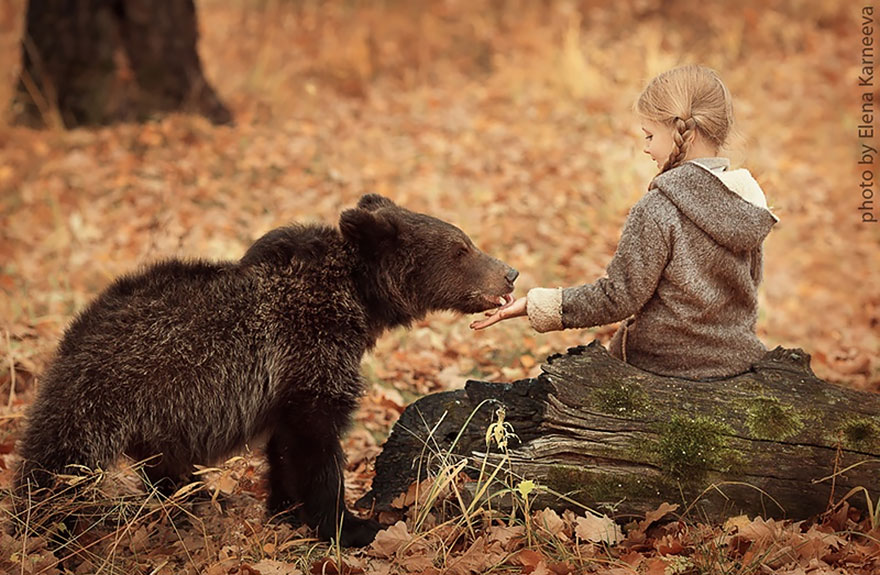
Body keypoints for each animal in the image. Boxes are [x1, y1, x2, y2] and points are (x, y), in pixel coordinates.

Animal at [15, 195, 516, 548]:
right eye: (462, 248)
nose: (508, 272)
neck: (358, 301)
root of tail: (74, 331)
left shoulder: (286, 383)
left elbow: (283, 447)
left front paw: (284, 509)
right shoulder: (309, 355)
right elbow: (316, 446)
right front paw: (349, 524)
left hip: (155, 416)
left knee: (163, 467)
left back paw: (197, 501)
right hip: (106, 394)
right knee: (55, 466)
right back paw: (42, 528)